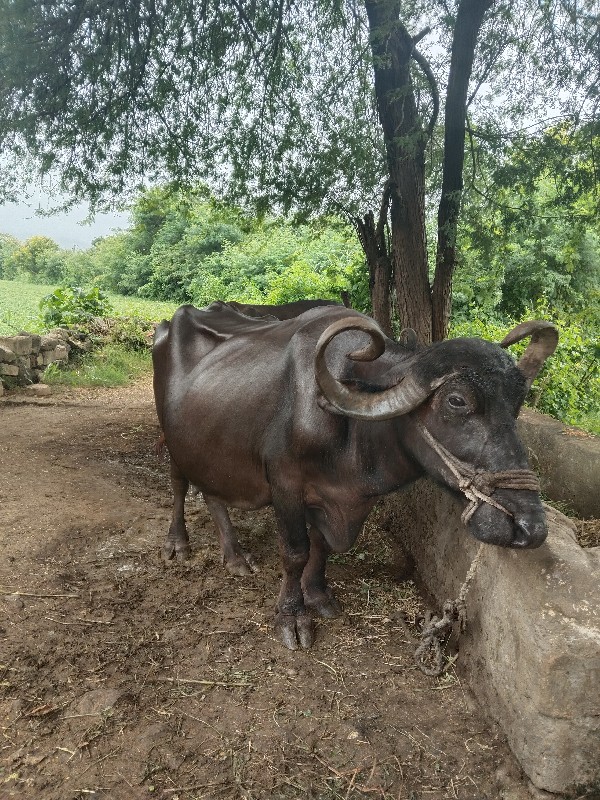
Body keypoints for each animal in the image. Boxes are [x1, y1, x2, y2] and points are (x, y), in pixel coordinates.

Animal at [155, 300, 556, 648]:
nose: (529, 527)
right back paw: (178, 543)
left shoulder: (336, 496)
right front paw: (292, 615)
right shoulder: (285, 484)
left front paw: (318, 594)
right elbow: (296, 551)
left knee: (211, 493)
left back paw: (235, 556)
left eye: (517, 404)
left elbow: (322, 546)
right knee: (178, 483)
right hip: (173, 440)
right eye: (457, 401)